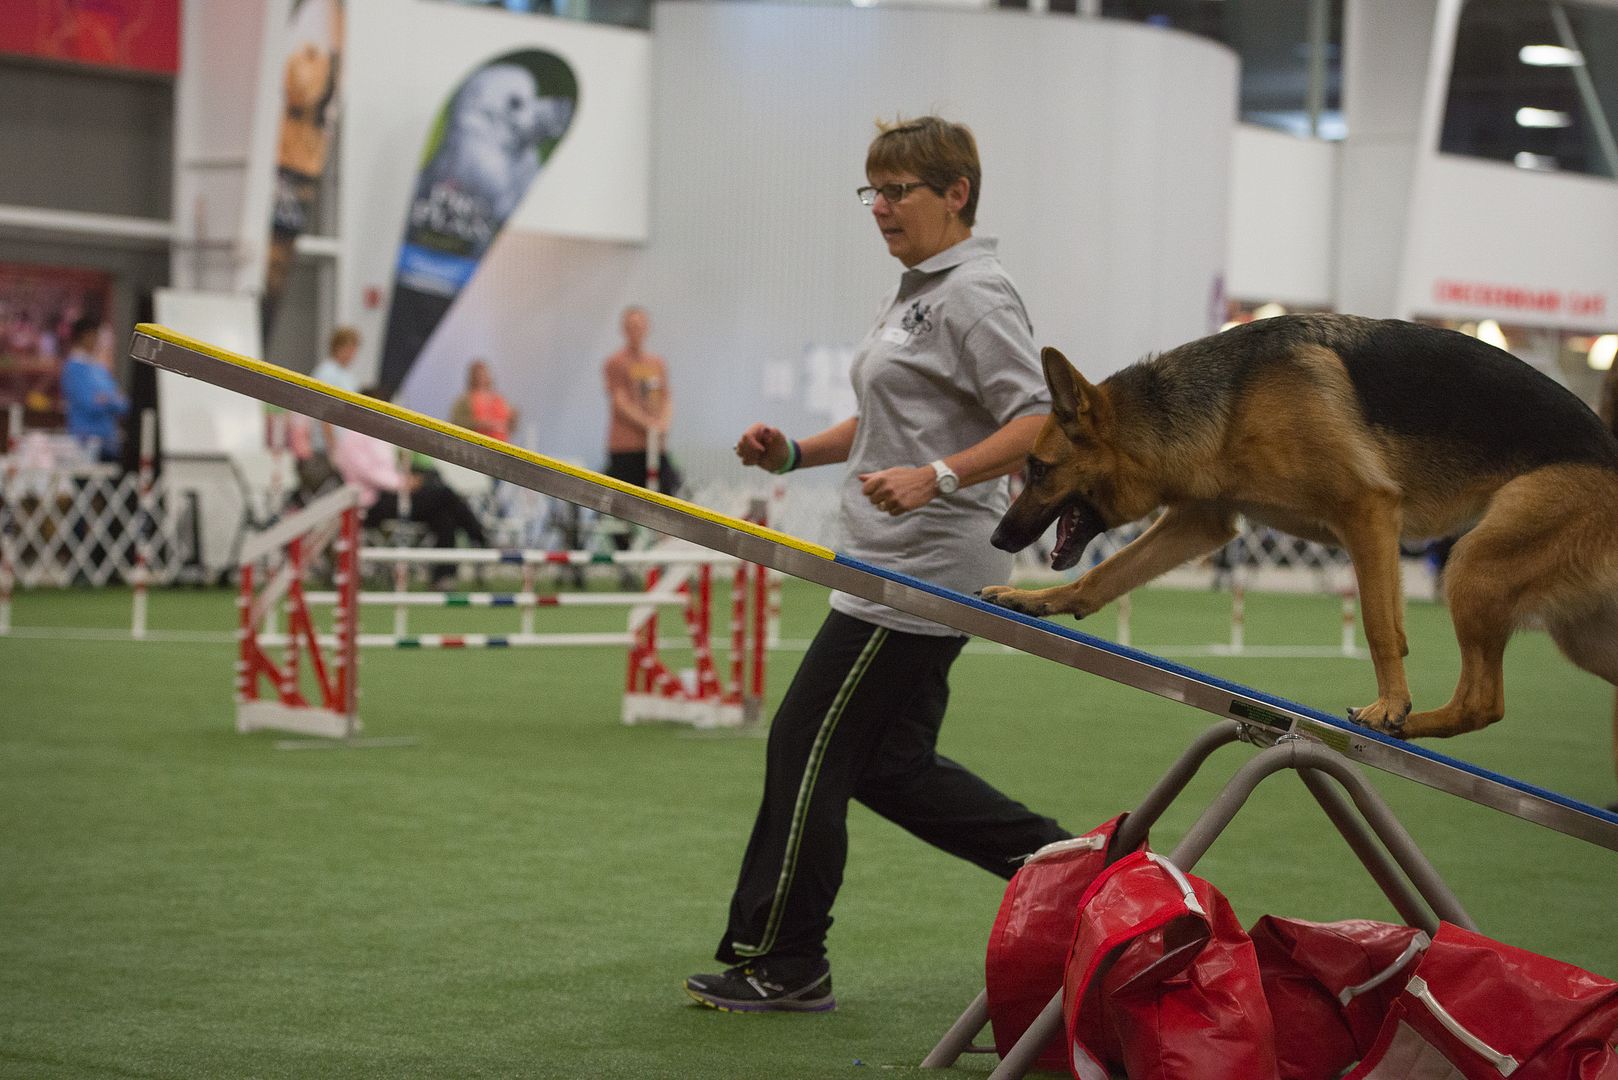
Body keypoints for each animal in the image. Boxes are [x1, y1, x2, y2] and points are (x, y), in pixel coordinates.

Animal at [977, 312, 1618, 744]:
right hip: (1580, 637)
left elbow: (1379, 626)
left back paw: (1407, 726)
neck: (1230, 400)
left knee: (1484, 703)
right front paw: (1037, 599)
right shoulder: (1202, 522)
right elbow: (1104, 576)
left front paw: (1392, 705)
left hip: (1473, 566)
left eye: (1037, 469)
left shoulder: (1367, 511)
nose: (998, 540)